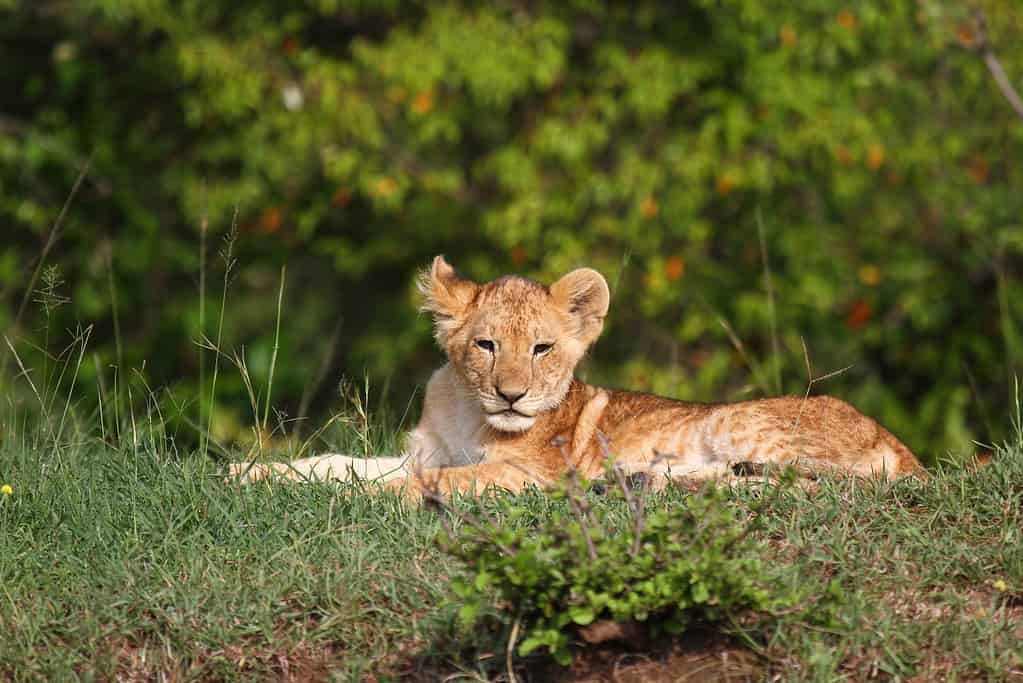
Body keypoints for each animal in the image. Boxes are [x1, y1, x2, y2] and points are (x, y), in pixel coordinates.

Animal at [228, 256, 923, 500]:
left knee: (818, 481)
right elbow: (338, 462)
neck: (468, 411)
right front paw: (245, 473)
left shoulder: (530, 474)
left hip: (737, 420)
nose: (511, 394)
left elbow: (431, 482)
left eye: (541, 349)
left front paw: (353, 499)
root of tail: (902, 445)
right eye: (485, 345)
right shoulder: (420, 451)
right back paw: (644, 479)